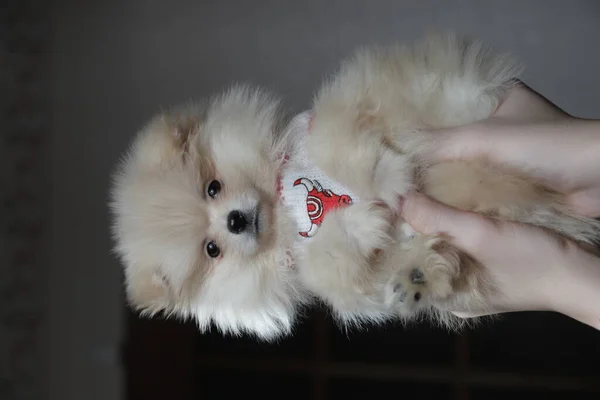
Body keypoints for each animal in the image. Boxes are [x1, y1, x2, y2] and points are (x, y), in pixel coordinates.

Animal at [109, 35, 600, 340]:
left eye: (213, 187)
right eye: (211, 251)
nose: (236, 220)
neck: (284, 205)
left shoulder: (328, 122)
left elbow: (343, 147)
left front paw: (391, 180)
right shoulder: (330, 276)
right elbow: (335, 264)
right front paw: (365, 222)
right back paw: (418, 275)